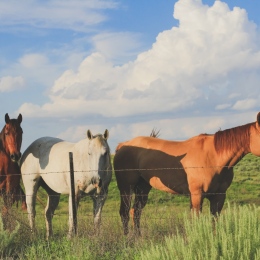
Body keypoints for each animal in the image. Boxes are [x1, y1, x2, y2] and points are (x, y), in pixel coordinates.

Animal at [114, 111, 260, 236]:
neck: (213, 157)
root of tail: (122, 145)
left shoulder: (219, 196)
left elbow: (214, 220)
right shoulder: (197, 194)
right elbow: (196, 219)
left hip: (143, 188)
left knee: (136, 211)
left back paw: (137, 238)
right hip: (126, 188)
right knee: (124, 212)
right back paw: (127, 240)